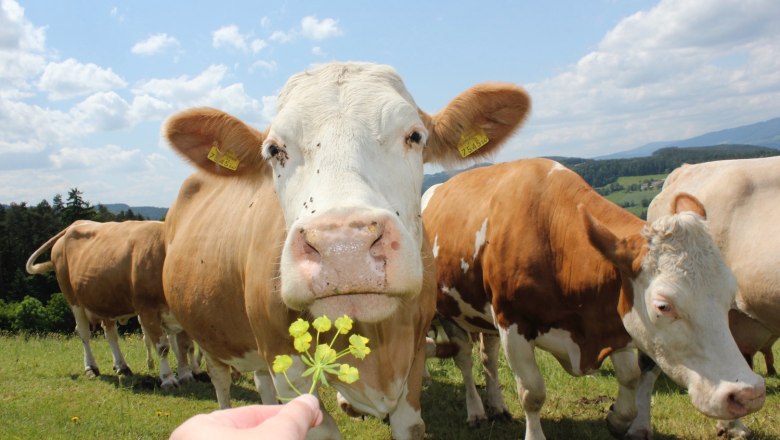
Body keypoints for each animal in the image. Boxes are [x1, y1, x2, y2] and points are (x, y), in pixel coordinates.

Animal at [26, 220, 196, 387]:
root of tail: (75, 225)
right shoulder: (147, 311)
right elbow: (163, 347)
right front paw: (168, 379)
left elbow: (184, 345)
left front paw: (186, 375)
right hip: (73, 298)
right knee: (83, 332)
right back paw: (91, 367)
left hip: (104, 302)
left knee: (110, 334)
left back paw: (122, 366)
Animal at [160, 61, 531, 439]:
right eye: (274, 150)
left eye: (414, 136)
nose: (343, 247)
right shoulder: (286, 367)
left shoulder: (413, 356)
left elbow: (410, 423)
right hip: (207, 333)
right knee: (221, 382)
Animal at [421, 158, 766, 440]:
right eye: (663, 306)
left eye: (728, 296)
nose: (748, 393)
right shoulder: (513, 324)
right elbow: (533, 393)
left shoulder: (615, 322)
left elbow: (630, 378)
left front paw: (616, 419)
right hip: (449, 313)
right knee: (465, 360)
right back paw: (476, 411)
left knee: (488, 357)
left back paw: (496, 405)